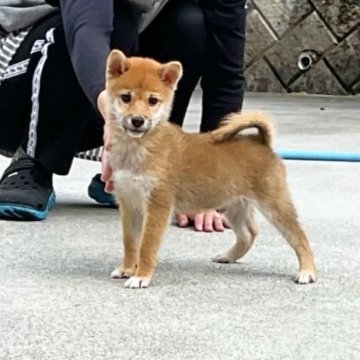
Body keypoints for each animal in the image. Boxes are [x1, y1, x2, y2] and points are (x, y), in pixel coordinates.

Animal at [104, 50, 316, 290]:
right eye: (126, 97)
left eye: (152, 101)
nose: (138, 120)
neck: (137, 148)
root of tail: (261, 142)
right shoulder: (129, 204)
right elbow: (130, 243)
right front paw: (127, 268)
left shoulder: (158, 205)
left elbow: (147, 246)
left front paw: (141, 276)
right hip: (235, 205)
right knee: (249, 234)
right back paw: (228, 256)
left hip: (275, 205)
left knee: (299, 237)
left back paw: (307, 271)